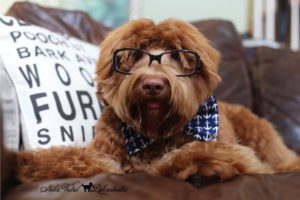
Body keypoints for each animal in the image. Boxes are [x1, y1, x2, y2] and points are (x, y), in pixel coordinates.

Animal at [17, 18, 300, 183]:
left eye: (175, 54)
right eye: (135, 54)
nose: (153, 84)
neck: (152, 132)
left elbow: (199, 152)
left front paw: (201, 165)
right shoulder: (102, 154)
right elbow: (75, 158)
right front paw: (31, 162)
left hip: (261, 137)